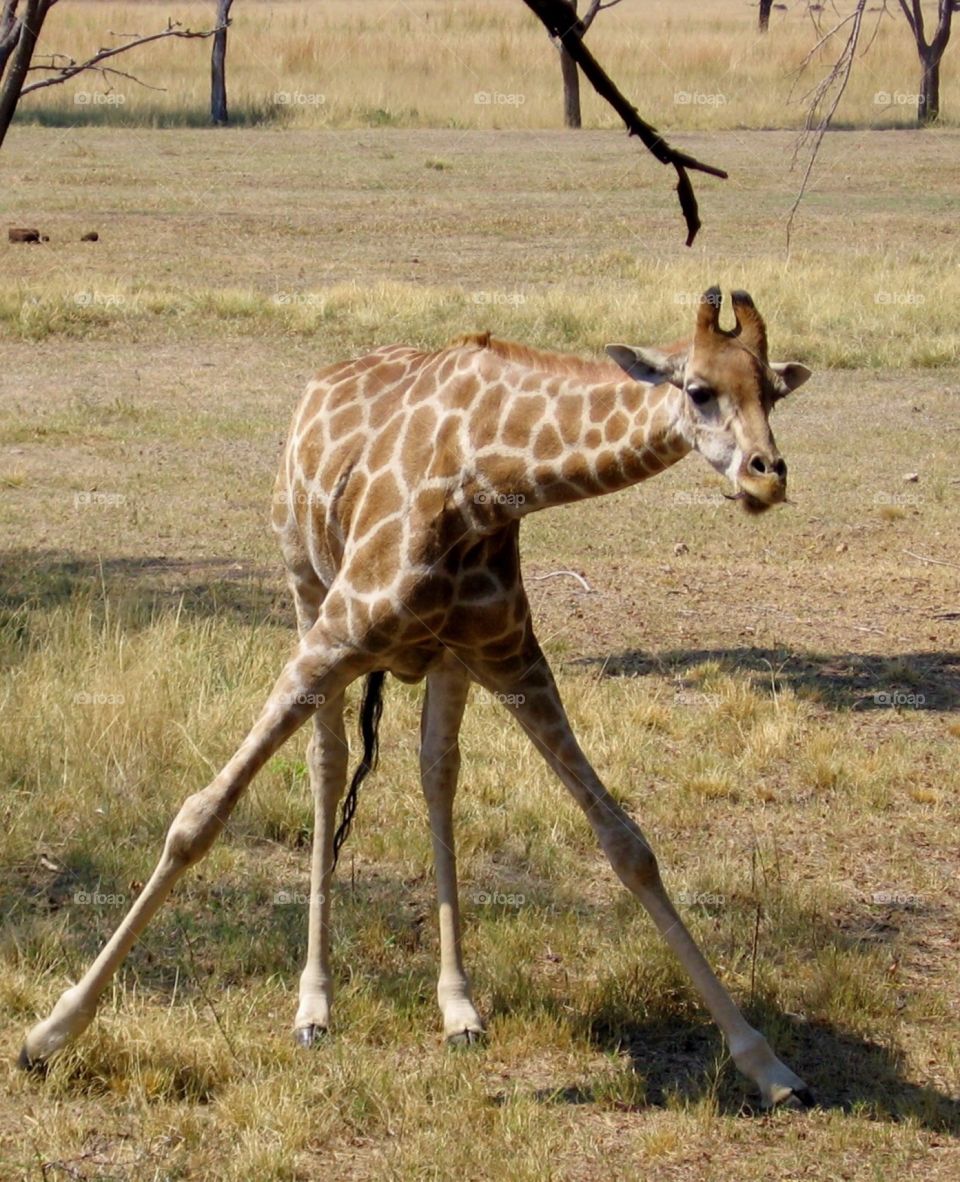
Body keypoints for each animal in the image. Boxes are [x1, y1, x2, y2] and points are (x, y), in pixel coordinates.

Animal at [18, 288, 813, 1106]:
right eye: (699, 390)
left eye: (774, 392)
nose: (768, 476)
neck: (485, 480)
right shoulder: (333, 639)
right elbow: (197, 818)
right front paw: (49, 1033)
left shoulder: (513, 660)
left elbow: (628, 844)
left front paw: (768, 1064)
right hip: (304, 590)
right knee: (329, 764)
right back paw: (314, 1005)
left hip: (446, 662)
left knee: (437, 774)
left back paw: (458, 1008)